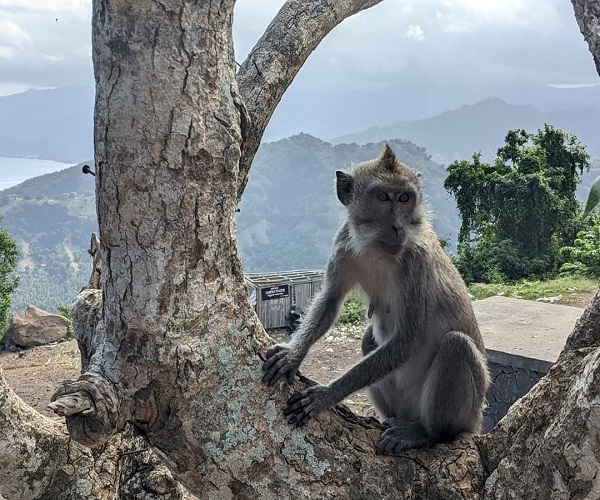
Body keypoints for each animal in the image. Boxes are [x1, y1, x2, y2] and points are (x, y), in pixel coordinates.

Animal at [260, 144, 490, 454]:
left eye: (404, 198)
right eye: (383, 197)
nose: (398, 227)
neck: (378, 249)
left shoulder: (417, 262)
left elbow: (407, 340)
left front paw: (326, 395)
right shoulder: (344, 246)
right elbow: (330, 300)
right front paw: (294, 354)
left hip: (468, 412)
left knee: (457, 346)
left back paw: (426, 433)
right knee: (370, 338)